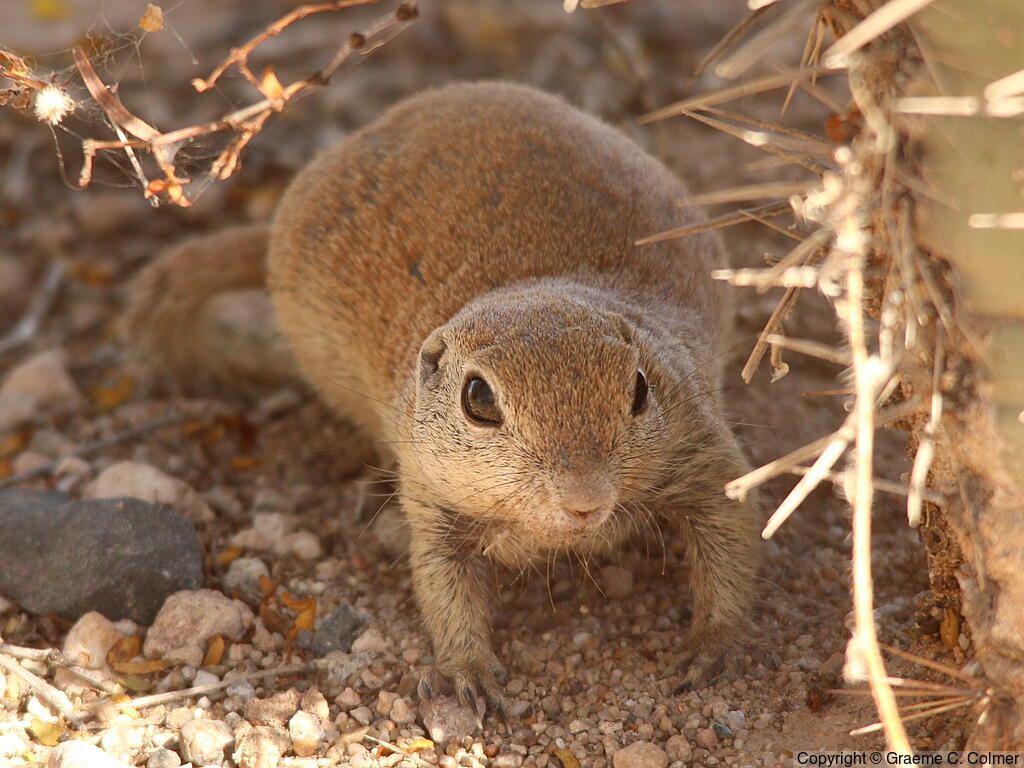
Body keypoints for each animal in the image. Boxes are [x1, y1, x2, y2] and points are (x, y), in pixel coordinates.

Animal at [127, 81, 761, 724]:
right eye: (478, 398)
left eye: (639, 388)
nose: (586, 500)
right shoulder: (430, 495)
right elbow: (441, 583)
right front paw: (467, 672)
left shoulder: (700, 445)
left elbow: (730, 532)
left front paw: (715, 645)